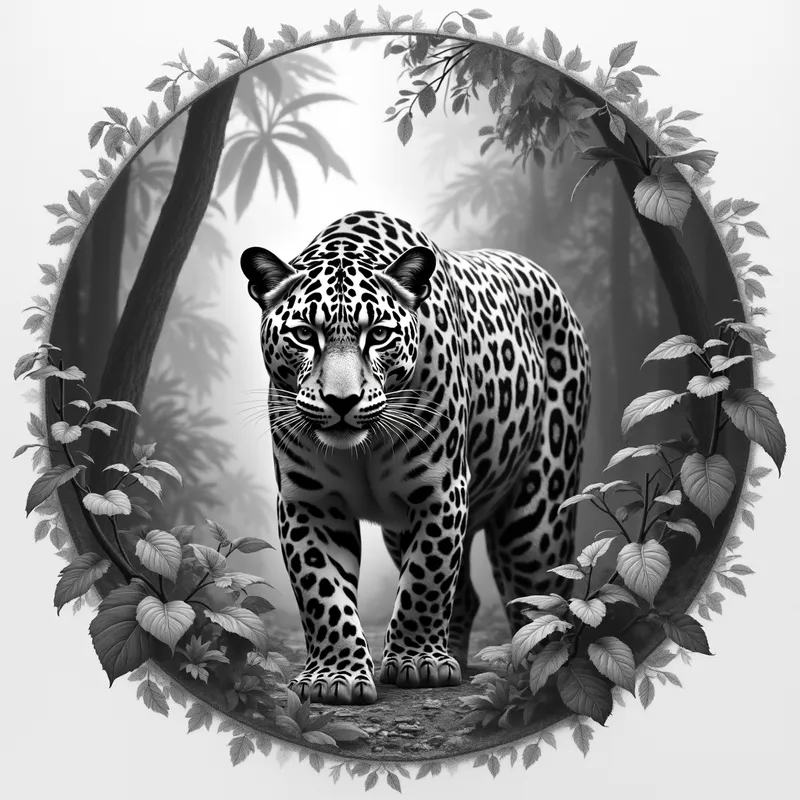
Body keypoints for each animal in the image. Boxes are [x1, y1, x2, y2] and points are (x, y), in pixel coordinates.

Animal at [240, 210, 591, 705]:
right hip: (398, 530)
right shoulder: (309, 500)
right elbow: (322, 592)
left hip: (537, 521)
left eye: (379, 335)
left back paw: (535, 672)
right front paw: (335, 675)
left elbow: (427, 577)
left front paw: (418, 660)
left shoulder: (440, 490)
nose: (342, 401)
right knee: (469, 595)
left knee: (542, 595)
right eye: (305, 335)